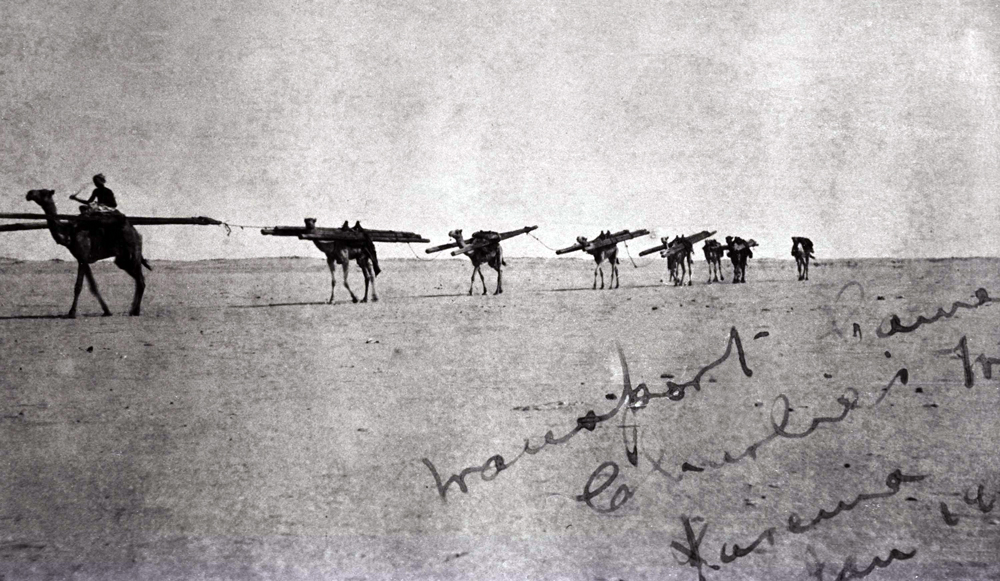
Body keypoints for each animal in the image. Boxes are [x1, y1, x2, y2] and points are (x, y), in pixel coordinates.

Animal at [24, 189, 150, 318]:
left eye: (43, 192)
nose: (29, 193)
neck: (69, 233)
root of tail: (136, 233)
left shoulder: (83, 257)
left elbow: (78, 286)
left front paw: (72, 313)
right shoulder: (82, 258)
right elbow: (93, 286)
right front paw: (107, 311)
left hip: (133, 252)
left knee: (141, 281)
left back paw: (135, 311)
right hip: (122, 259)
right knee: (137, 279)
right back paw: (133, 310)